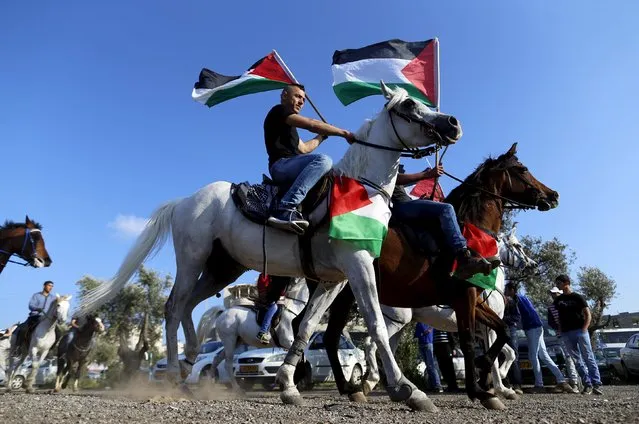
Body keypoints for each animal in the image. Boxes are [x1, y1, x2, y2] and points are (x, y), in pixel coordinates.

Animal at [77, 82, 462, 410]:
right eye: (409, 105)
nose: (453, 123)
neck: (361, 187)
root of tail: (184, 201)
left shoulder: (333, 279)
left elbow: (306, 329)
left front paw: (288, 385)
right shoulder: (358, 263)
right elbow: (375, 325)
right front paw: (408, 390)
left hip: (222, 269)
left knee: (189, 306)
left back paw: (189, 364)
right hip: (192, 258)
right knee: (173, 307)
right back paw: (174, 373)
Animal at [362, 224, 536, 400]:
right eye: (517, 246)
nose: (533, 265)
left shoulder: (483, 331)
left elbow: (509, 351)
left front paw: (493, 382)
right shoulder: (488, 330)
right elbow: (499, 355)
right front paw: (500, 387)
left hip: (398, 325)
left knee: (385, 348)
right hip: (394, 321)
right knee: (372, 343)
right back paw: (371, 381)